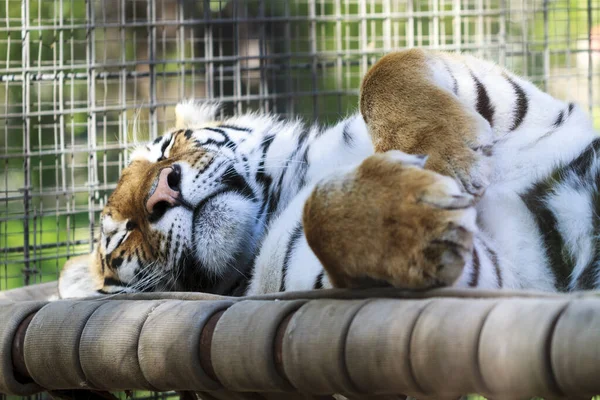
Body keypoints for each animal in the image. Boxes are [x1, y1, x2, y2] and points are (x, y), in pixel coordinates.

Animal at [58, 48, 600, 298]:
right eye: (120, 235)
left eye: (167, 149)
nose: (162, 193)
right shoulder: (492, 278)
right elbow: (321, 214)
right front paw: (419, 215)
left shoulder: (517, 101)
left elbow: (387, 69)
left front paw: (450, 157)